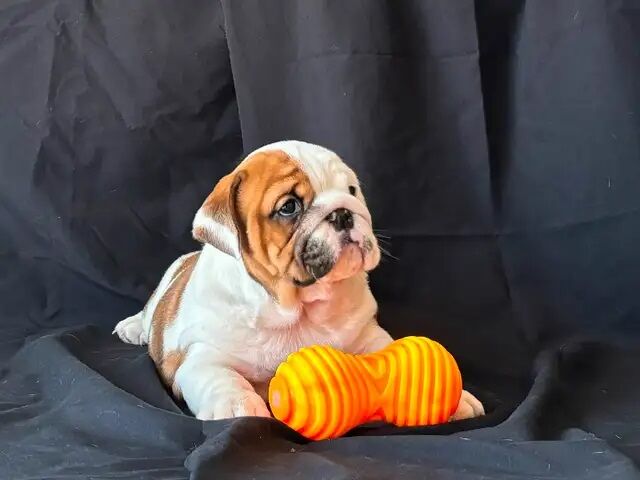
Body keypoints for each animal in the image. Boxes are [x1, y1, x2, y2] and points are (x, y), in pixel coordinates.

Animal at [115, 141, 484, 422]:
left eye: (352, 190)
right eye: (289, 207)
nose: (343, 211)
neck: (298, 307)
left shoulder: (367, 335)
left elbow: (390, 351)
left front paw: (453, 397)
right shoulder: (199, 355)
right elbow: (219, 376)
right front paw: (236, 405)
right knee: (148, 315)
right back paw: (132, 328)